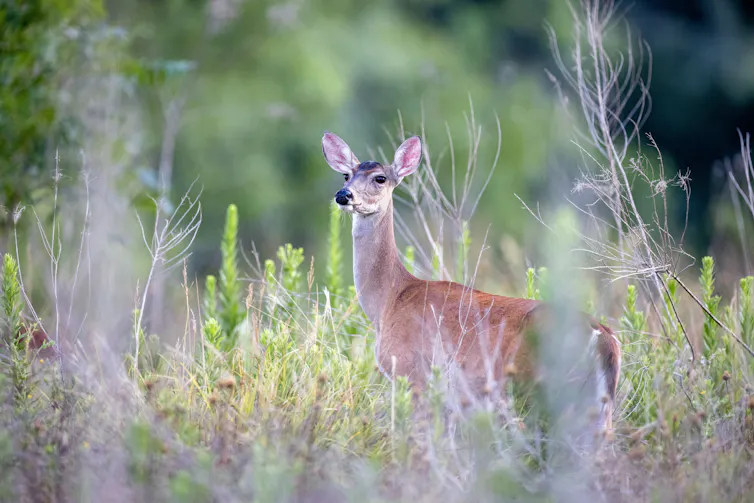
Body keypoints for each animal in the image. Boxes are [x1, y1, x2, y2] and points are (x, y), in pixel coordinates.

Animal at [321, 131, 621, 434]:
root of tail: (605, 338)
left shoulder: (412, 372)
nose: (343, 195)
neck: (390, 299)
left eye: (380, 178)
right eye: (346, 175)